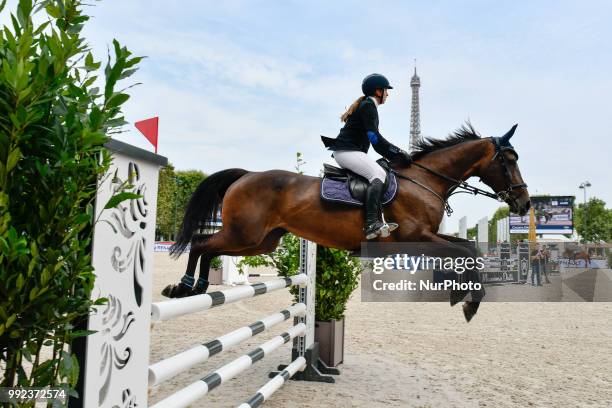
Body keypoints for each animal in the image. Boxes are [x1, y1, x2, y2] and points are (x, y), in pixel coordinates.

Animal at [165, 124, 528, 322]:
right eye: (509, 160)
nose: (523, 203)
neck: (425, 180)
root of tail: (246, 175)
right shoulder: (417, 237)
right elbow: (464, 252)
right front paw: (469, 302)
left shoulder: (429, 236)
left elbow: (468, 249)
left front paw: (462, 296)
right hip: (244, 234)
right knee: (201, 244)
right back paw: (183, 286)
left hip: (258, 241)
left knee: (209, 249)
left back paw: (195, 287)